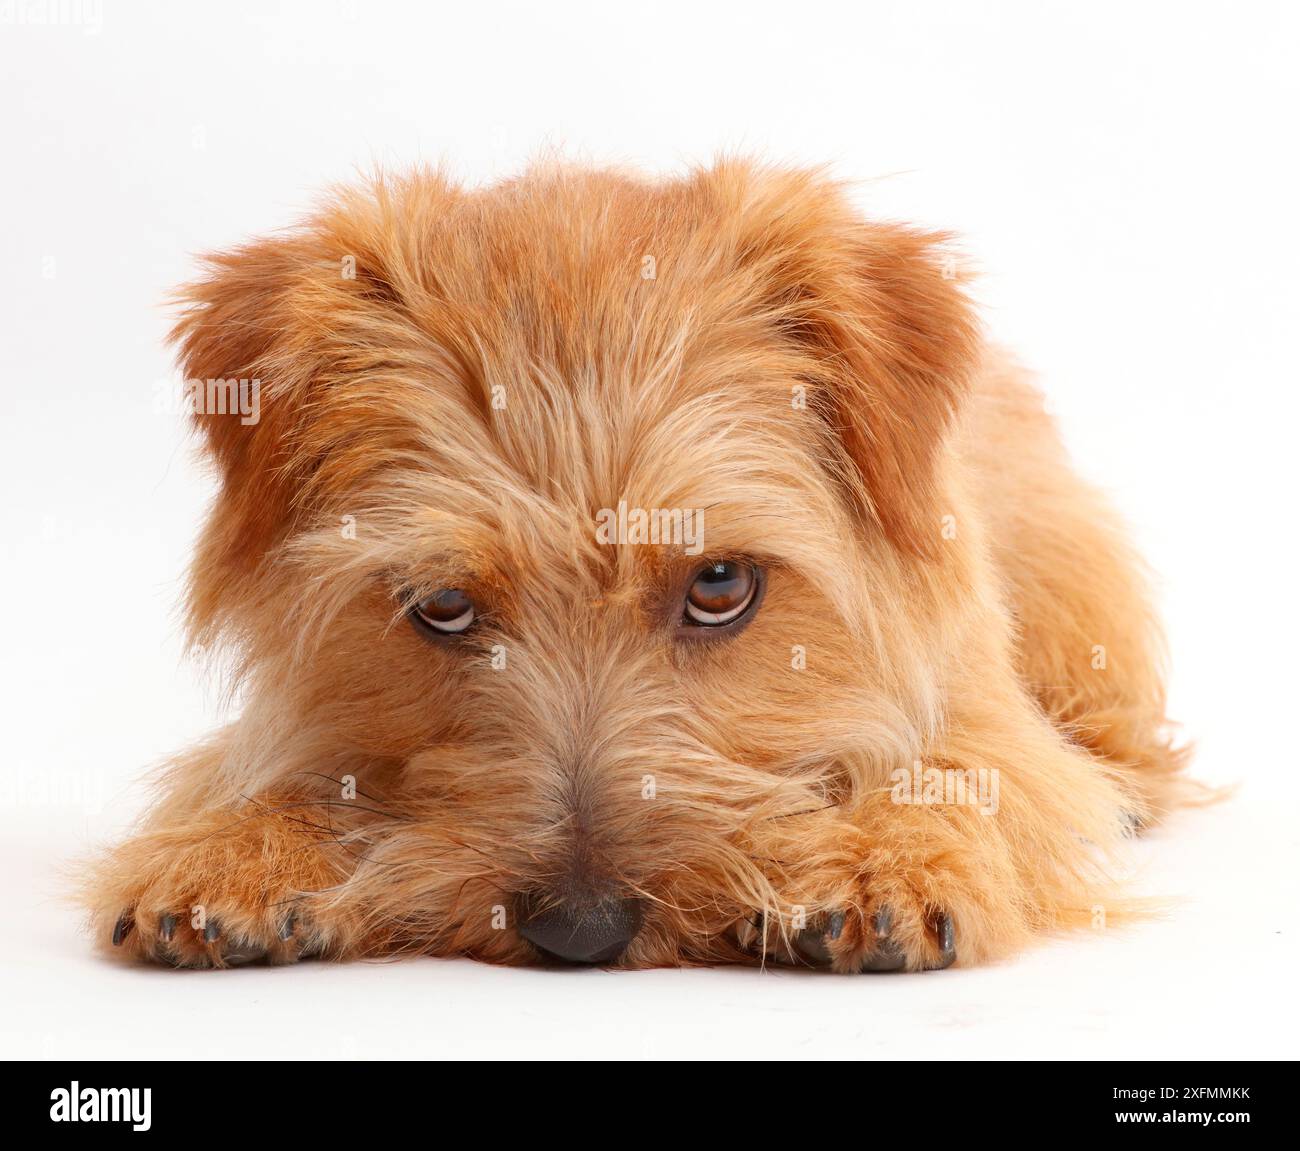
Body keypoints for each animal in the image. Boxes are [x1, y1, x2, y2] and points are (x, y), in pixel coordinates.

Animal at [86, 159, 1190, 967]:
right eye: (442, 603)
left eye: (720, 585)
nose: (579, 928)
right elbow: (276, 769)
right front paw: (240, 846)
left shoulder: (981, 705)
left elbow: (965, 765)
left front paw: (875, 856)